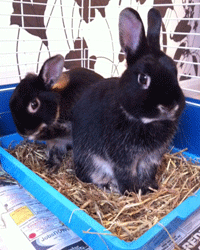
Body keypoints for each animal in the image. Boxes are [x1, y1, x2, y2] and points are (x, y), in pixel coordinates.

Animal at [72, 7, 186, 194]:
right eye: (143, 79)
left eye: (175, 73)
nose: (169, 106)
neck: (146, 122)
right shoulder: (123, 159)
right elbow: (126, 174)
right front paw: (131, 192)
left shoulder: (151, 158)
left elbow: (147, 172)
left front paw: (150, 188)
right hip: (90, 160)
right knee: (89, 175)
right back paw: (108, 185)